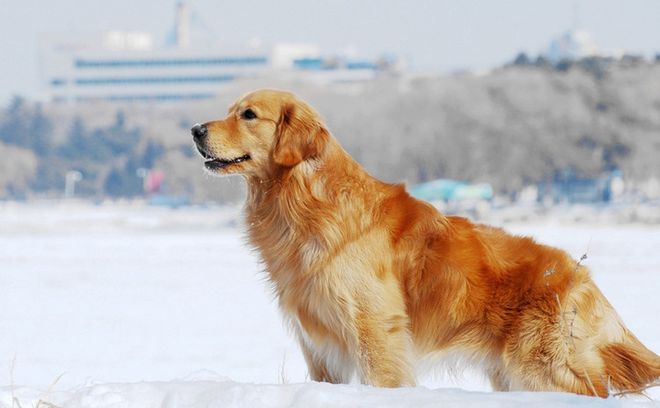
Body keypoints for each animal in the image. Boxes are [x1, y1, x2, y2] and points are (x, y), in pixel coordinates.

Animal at [192, 88, 660, 396]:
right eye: (231, 110)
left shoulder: (375, 329)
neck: (306, 201)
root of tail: (581, 276)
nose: (195, 129)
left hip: (544, 370)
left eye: (248, 114)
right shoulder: (318, 343)